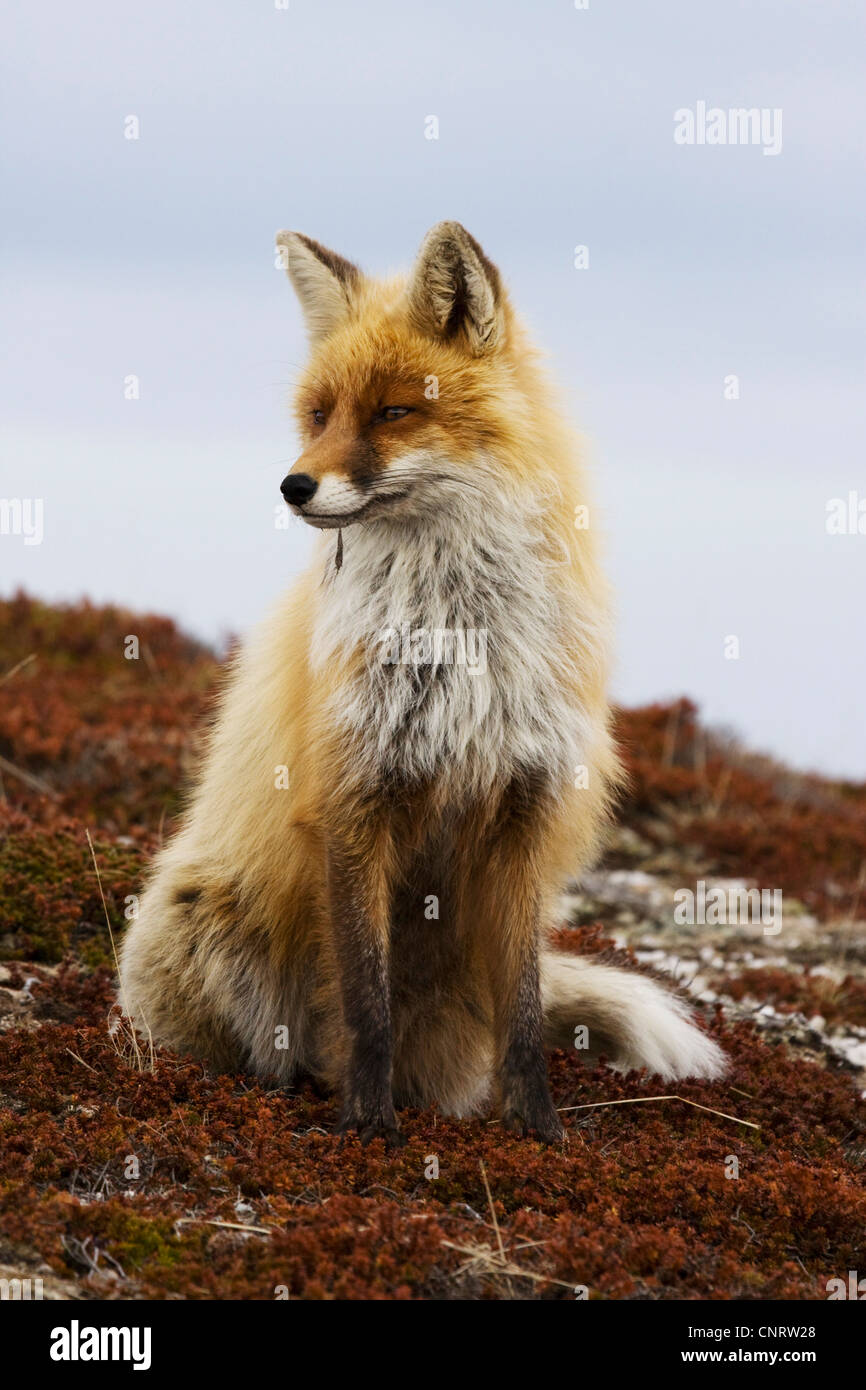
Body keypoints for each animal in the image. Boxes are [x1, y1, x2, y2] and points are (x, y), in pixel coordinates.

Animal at [115, 222, 722, 1145]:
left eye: (394, 412)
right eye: (319, 414)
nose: (293, 486)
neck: (455, 637)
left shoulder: (523, 813)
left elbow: (524, 1013)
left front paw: (540, 1134)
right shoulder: (353, 798)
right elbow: (365, 1000)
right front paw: (368, 1128)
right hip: (215, 931)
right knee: (274, 1052)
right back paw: (288, 1091)